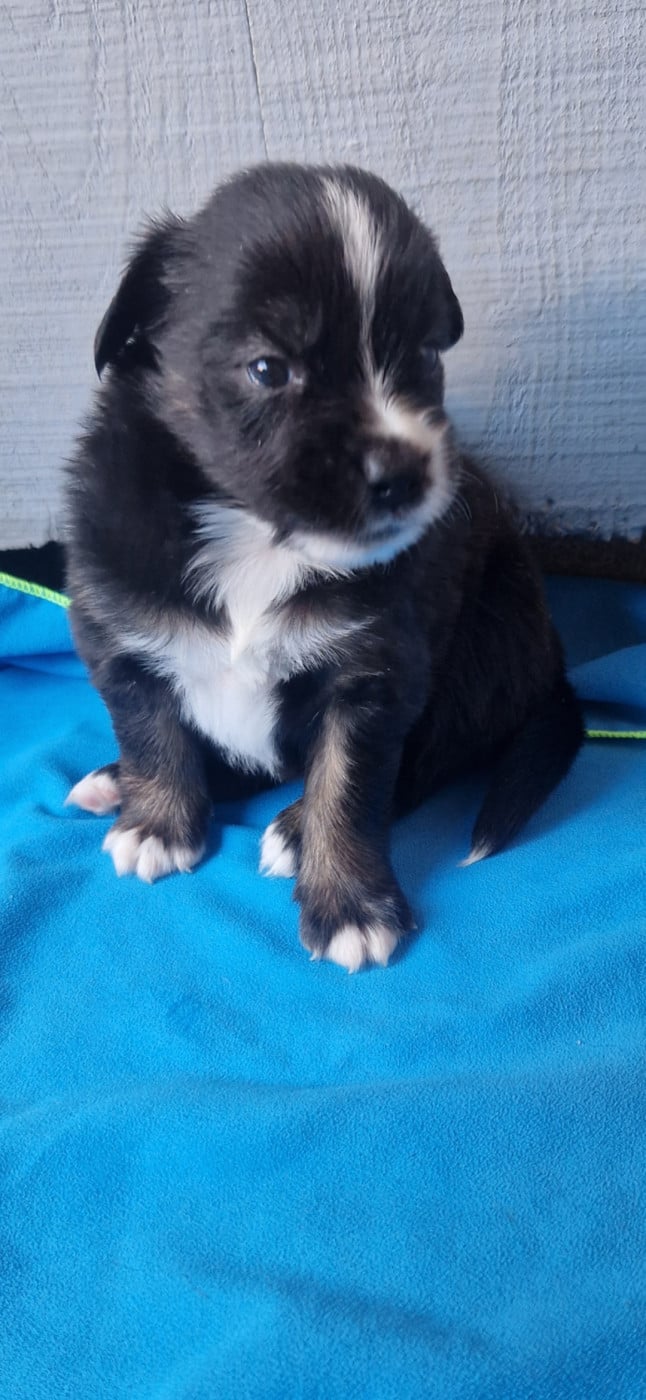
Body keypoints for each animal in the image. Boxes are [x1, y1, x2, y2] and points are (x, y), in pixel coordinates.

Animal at [64, 162, 583, 971]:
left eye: (425, 357)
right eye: (268, 369)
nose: (404, 474)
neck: (254, 540)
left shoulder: (373, 673)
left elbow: (351, 784)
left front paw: (348, 903)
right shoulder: (115, 626)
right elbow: (150, 730)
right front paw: (157, 823)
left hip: (489, 638)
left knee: (429, 760)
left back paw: (291, 826)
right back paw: (113, 783)